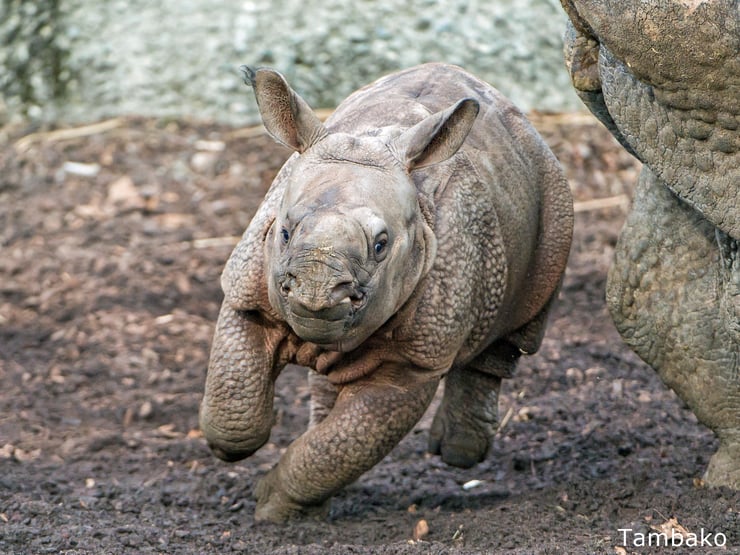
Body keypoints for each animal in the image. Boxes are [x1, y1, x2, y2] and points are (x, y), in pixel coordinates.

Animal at [199, 63, 573, 522]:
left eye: (381, 246)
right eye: (284, 233)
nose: (317, 293)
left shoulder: (416, 357)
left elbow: (345, 443)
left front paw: (271, 505)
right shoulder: (247, 290)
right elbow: (234, 406)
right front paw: (232, 453)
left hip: (554, 199)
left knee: (512, 330)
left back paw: (457, 454)